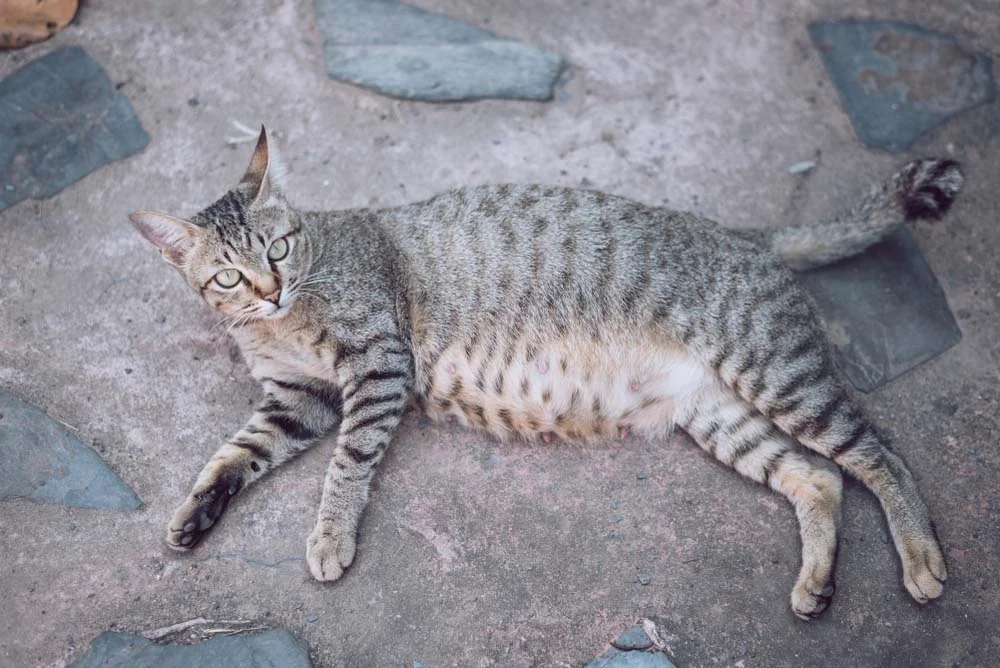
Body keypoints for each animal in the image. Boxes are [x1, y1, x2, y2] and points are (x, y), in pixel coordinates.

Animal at [129, 128, 956, 620]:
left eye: (278, 248)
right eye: (229, 277)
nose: (269, 289)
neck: (275, 324)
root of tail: (744, 233)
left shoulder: (378, 364)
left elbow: (348, 466)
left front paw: (330, 534)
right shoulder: (298, 399)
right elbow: (233, 455)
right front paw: (194, 513)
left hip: (776, 373)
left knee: (880, 456)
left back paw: (921, 558)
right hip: (721, 415)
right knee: (818, 477)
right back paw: (816, 584)